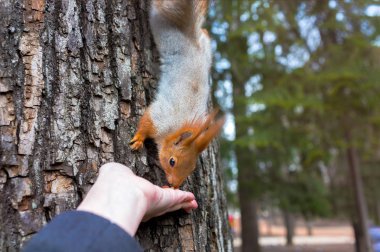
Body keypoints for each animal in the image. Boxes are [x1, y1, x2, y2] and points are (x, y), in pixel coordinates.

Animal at [131, 0, 226, 189]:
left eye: (191, 169)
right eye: (172, 161)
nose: (174, 185)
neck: (175, 128)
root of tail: (190, 34)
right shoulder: (160, 116)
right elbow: (145, 123)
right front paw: (138, 138)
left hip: (205, 47)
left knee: (204, 33)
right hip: (161, 21)